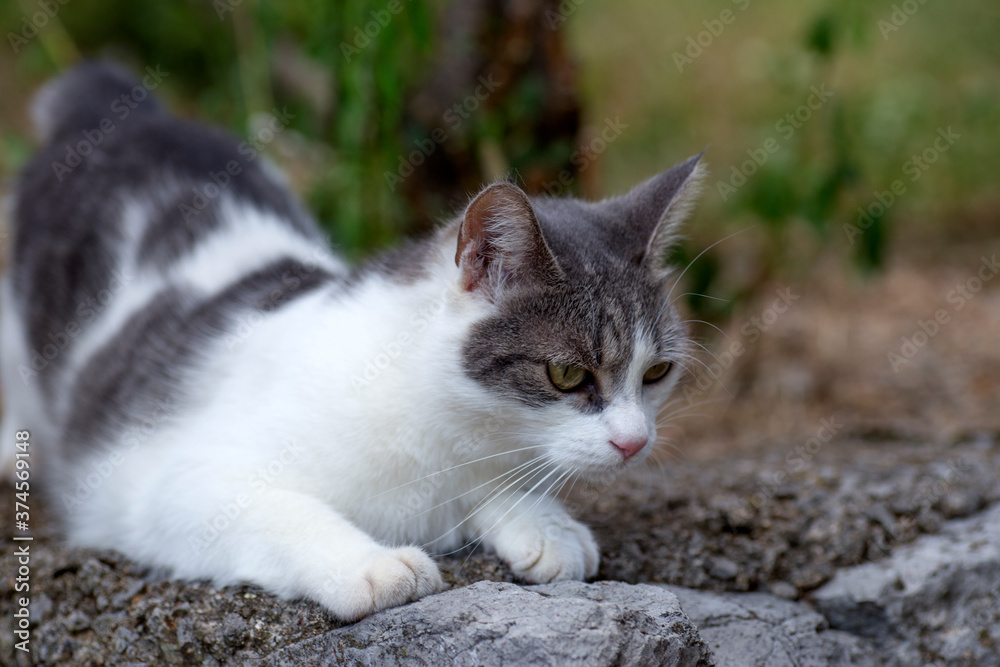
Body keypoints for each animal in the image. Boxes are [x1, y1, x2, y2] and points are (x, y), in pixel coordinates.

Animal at [0, 62, 704, 620]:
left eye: (657, 373)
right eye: (568, 374)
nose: (635, 442)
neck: (434, 428)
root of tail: (123, 115)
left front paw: (543, 522)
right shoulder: (171, 482)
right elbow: (282, 512)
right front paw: (374, 566)